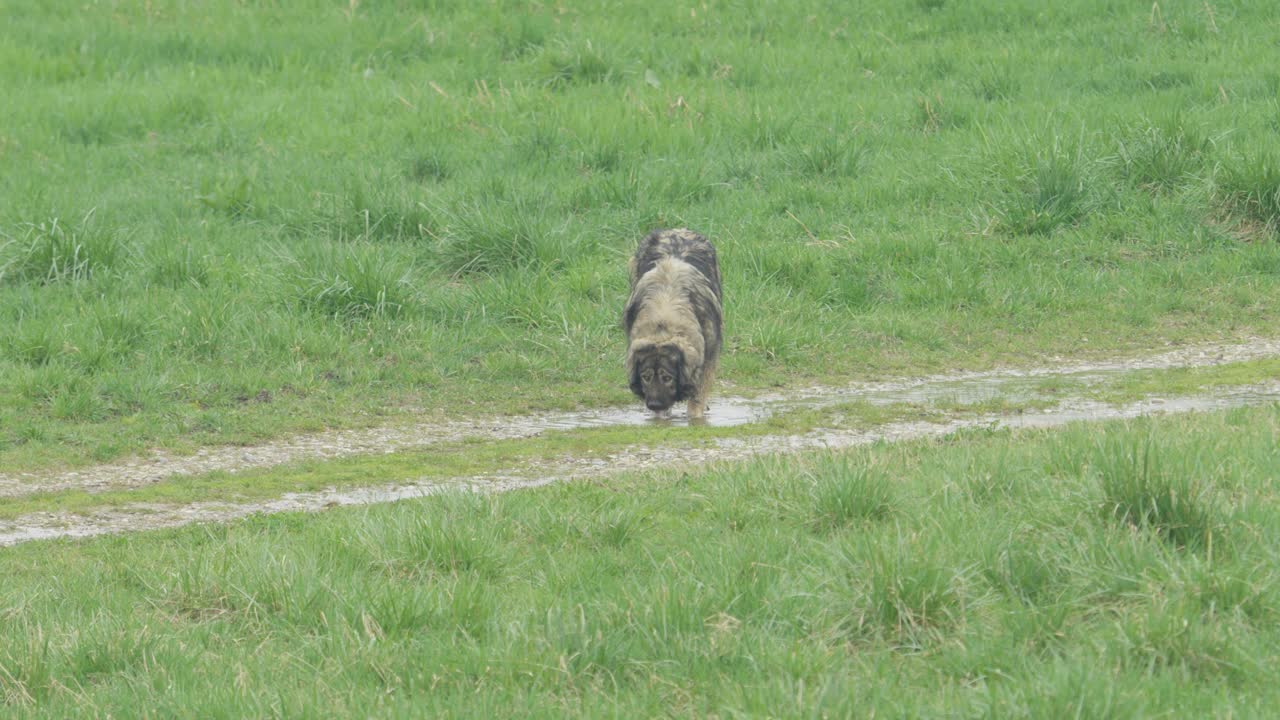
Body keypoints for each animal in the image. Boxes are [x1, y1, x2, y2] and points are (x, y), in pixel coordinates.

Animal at [624, 226, 727, 417]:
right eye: (645, 377)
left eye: (667, 378)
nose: (654, 405)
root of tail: (678, 229)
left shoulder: (707, 359)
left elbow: (697, 396)